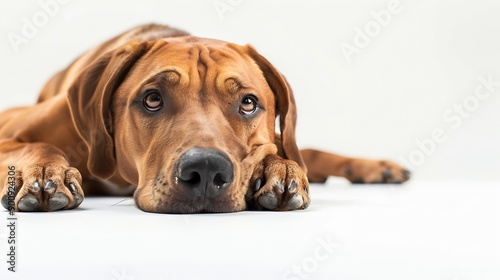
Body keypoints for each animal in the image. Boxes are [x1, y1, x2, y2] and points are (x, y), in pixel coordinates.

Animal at [0, 24, 410, 213]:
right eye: (152, 99)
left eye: (248, 103)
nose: (207, 171)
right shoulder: (9, 128)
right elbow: (39, 144)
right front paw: (45, 174)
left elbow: (280, 153)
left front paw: (280, 171)